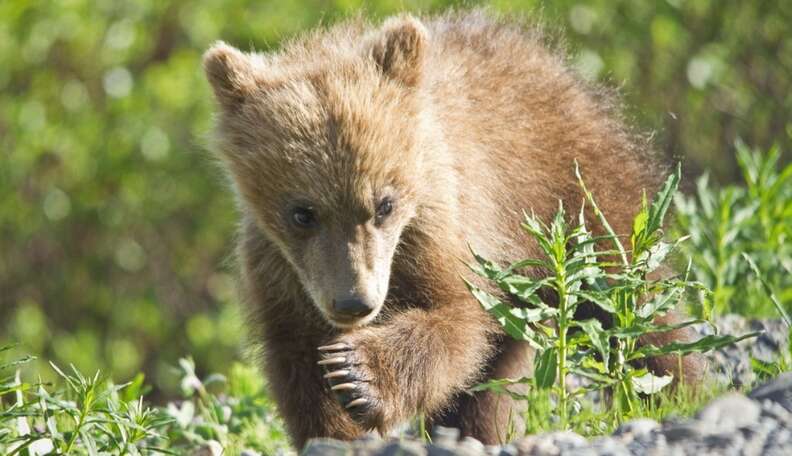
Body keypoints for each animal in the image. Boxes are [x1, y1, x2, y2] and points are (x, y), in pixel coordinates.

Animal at [201, 8, 704, 450]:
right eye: (302, 212)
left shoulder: (444, 226)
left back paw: (677, 390)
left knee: (628, 296)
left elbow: (457, 319)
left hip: (574, 192)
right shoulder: (280, 272)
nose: (354, 301)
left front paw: (358, 374)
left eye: (384, 204)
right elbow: (299, 364)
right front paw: (337, 422)